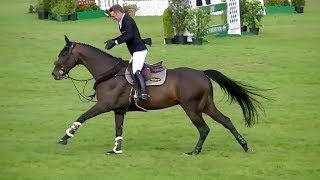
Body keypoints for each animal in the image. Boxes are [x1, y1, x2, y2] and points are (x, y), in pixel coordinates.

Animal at [50, 35, 264, 155]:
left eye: (63, 54)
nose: (54, 73)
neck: (109, 73)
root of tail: (202, 73)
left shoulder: (104, 105)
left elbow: (82, 117)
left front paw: (65, 137)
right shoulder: (118, 110)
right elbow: (118, 130)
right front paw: (116, 150)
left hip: (192, 108)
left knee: (204, 129)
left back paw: (195, 152)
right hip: (206, 106)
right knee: (226, 121)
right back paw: (245, 146)